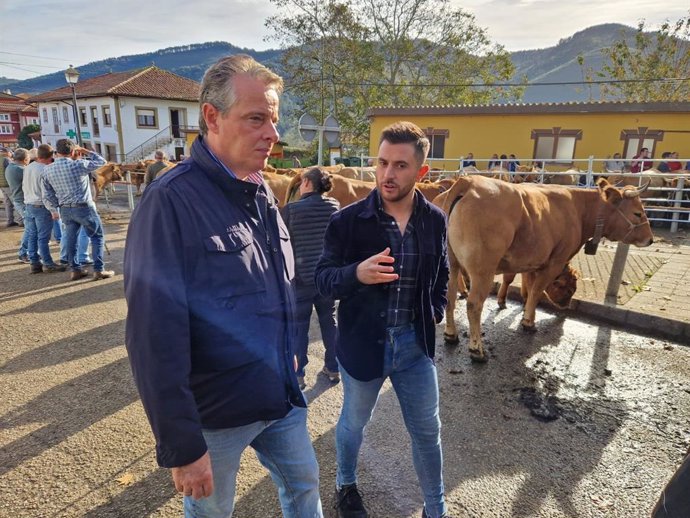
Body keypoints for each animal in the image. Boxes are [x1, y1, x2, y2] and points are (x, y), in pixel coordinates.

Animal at [438, 177, 652, 364]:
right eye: (638, 213)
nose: (650, 239)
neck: (579, 209)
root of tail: (468, 181)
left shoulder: (531, 260)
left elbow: (526, 286)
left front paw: (522, 309)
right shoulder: (554, 261)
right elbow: (536, 290)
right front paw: (528, 322)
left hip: (450, 264)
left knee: (449, 297)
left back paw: (451, 334)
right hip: (483, 269)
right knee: (474, 304)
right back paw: (477, 351)